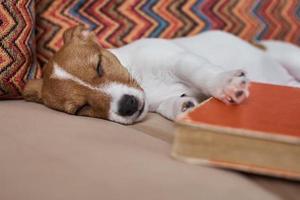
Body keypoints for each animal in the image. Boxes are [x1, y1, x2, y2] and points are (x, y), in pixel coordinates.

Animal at [23, 25, 300, 123]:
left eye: (99, 66)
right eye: (81, 108)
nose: (127, 106)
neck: (144, 80)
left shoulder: (179, 59)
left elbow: (201, 73)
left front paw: (225, 84)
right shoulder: (158, 100)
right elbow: (170, 104)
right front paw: (183, 107)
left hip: (292, 58)